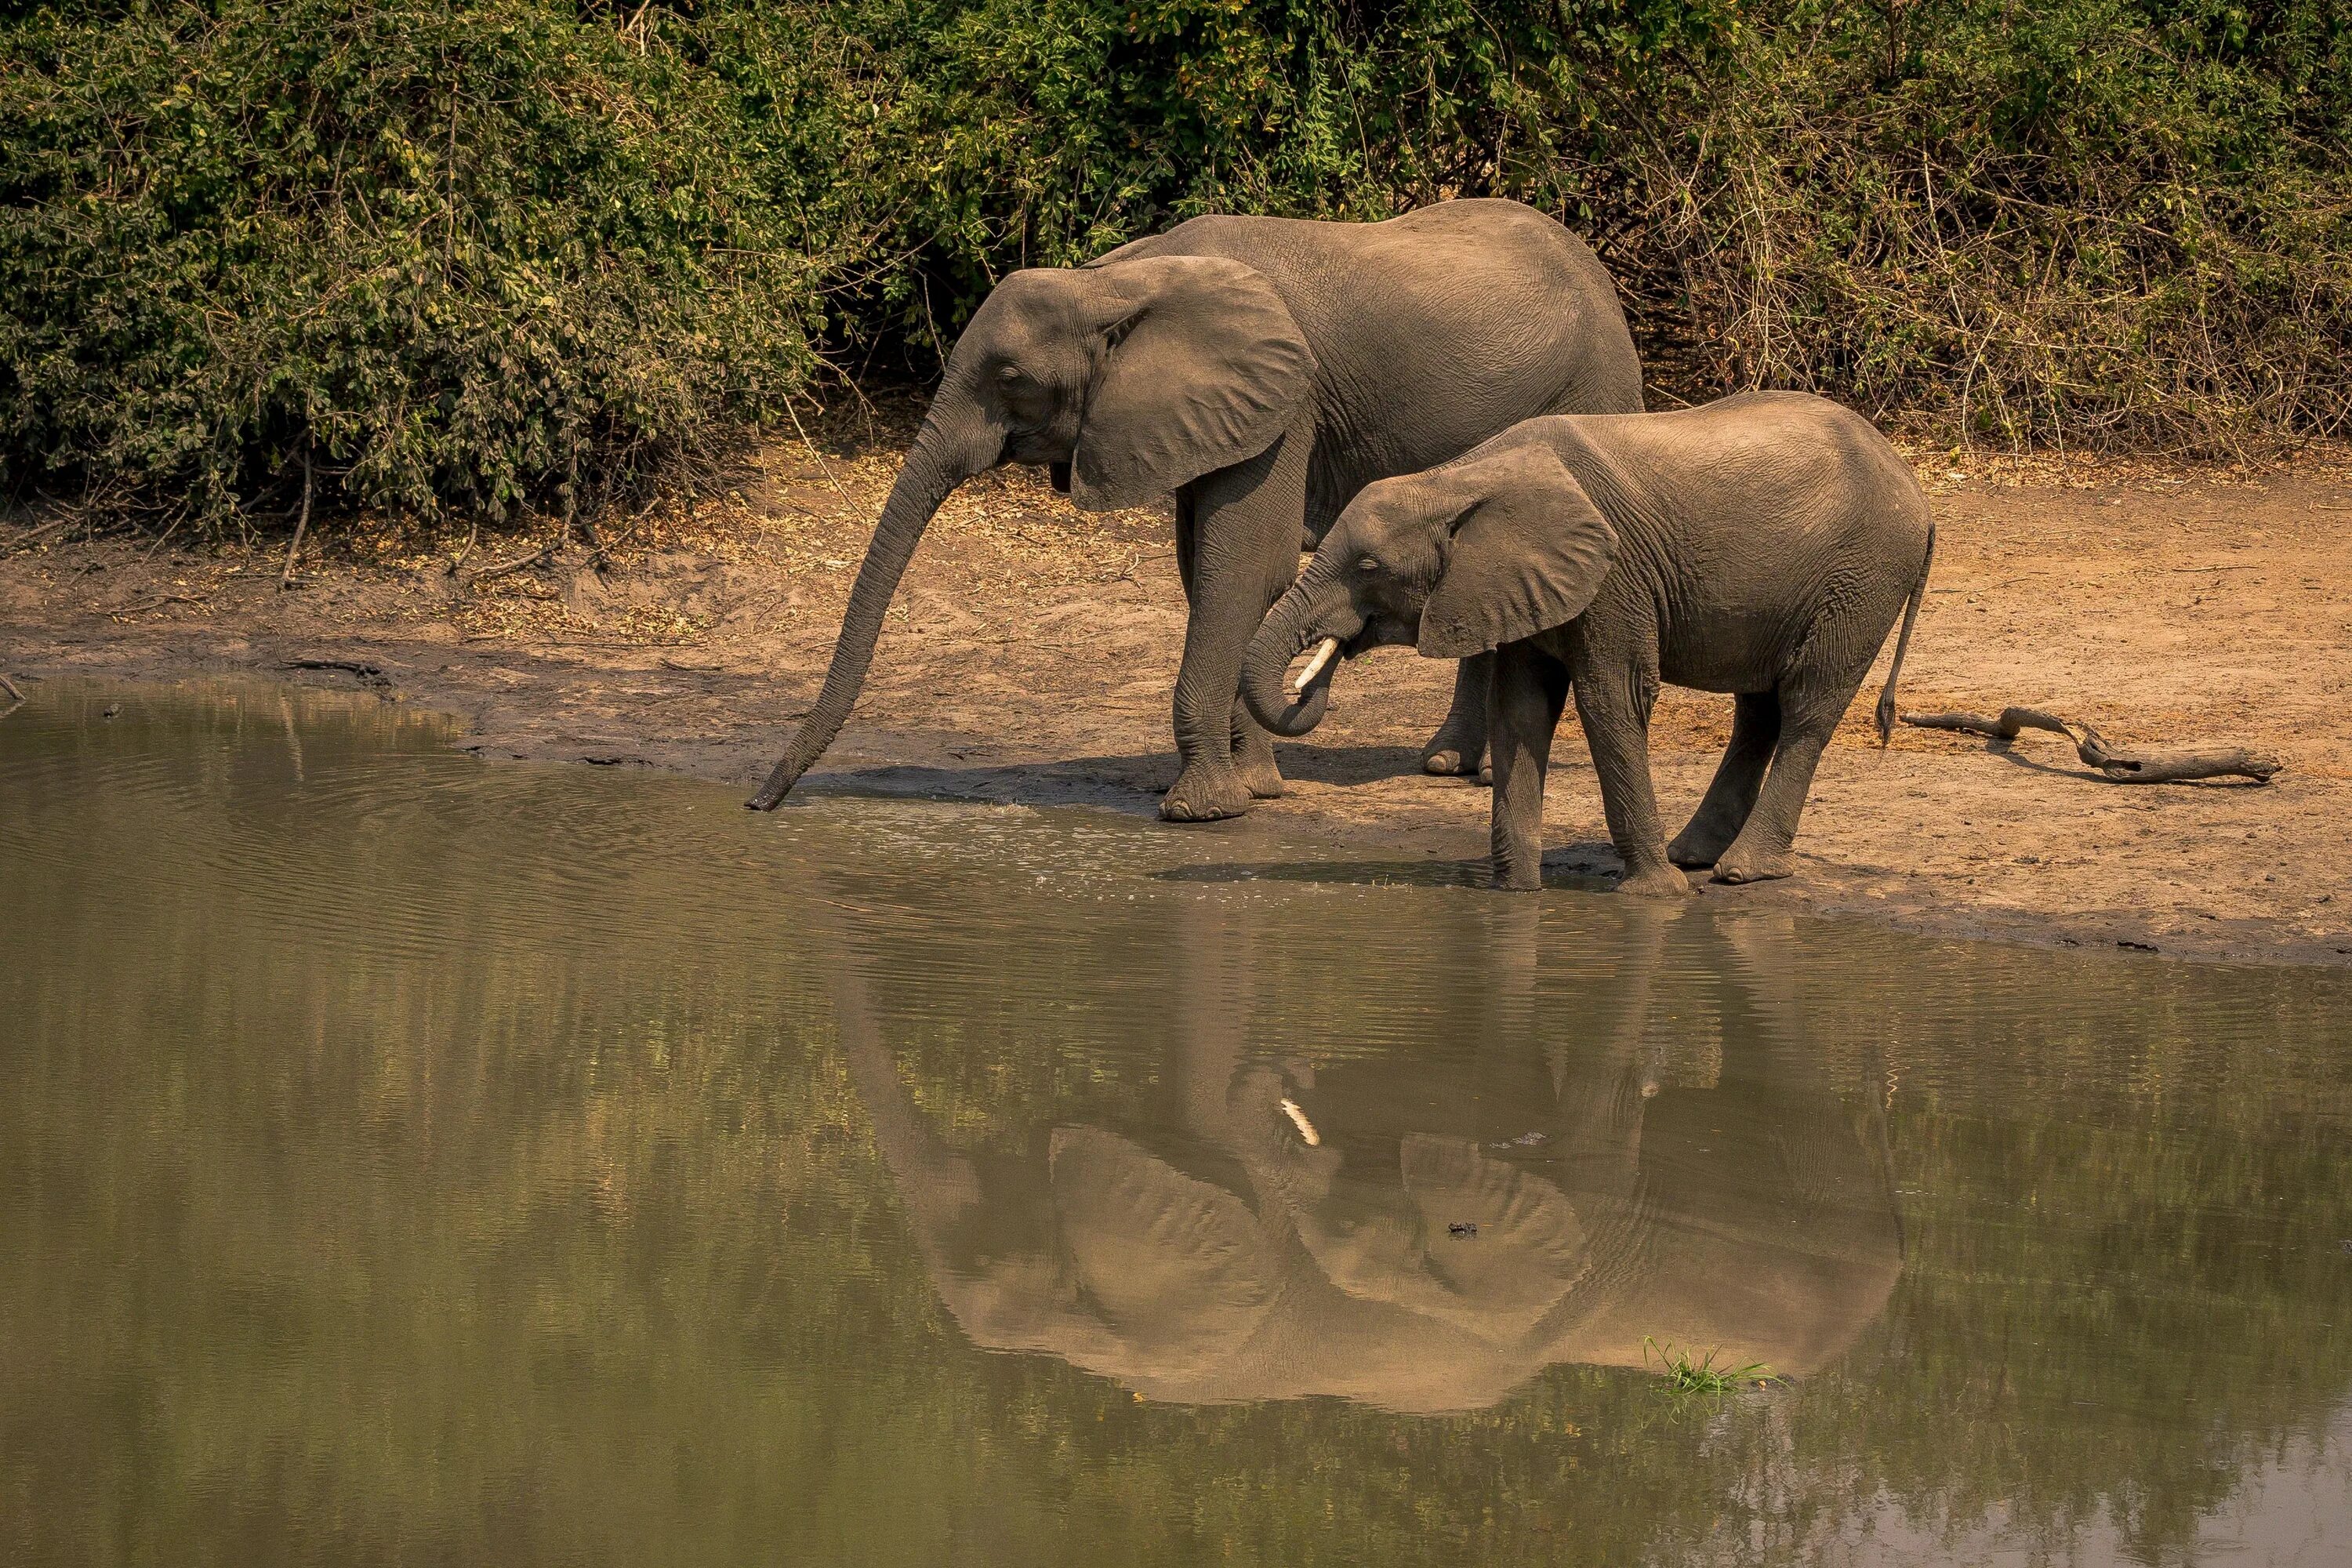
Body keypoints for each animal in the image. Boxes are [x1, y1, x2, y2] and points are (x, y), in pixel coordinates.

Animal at [743, 199, 1646, 822]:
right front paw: (1256, 785)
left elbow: (1243, 561)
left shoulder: (1288, 399)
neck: (1117, 278)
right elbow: (1204, 565)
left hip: (1595, 381)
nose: (759, 804)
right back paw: (1450, 767)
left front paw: (1202, 809)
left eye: (1010, 378)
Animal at [1242, 392, 1938, 893]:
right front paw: (1513, 895)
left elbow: (1613, 701)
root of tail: (1915, 487)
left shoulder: (1613, 576)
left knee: (1807, 707)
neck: (1459, 479)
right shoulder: (1520, 581)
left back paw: (1739, 871)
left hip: (1862, 578)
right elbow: (1520, 710)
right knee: (1759, 708)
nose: (1313, 682)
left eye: (1367, 567)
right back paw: (1693, 855)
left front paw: (1657, 897)